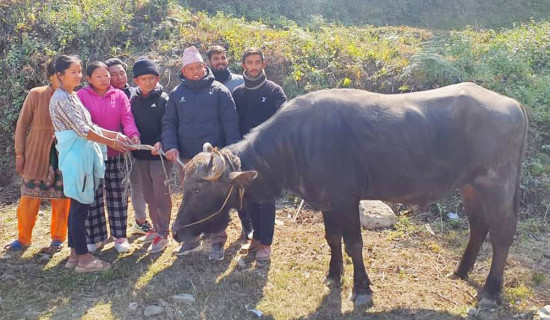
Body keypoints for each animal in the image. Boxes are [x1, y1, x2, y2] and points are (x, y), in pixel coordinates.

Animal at [174, 82, 532, 308]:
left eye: (197, 188)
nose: (176, 232)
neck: (298, 142)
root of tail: (513, 105)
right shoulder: (327, 202)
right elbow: (333, 239)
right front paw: (334, 275)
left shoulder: (347, 200)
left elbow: (355, 245)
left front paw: (361, 289)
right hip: (470, 186)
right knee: (478, 226)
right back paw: (460, 271)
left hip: (497, 186)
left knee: (503, 234)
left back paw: (490, 293)